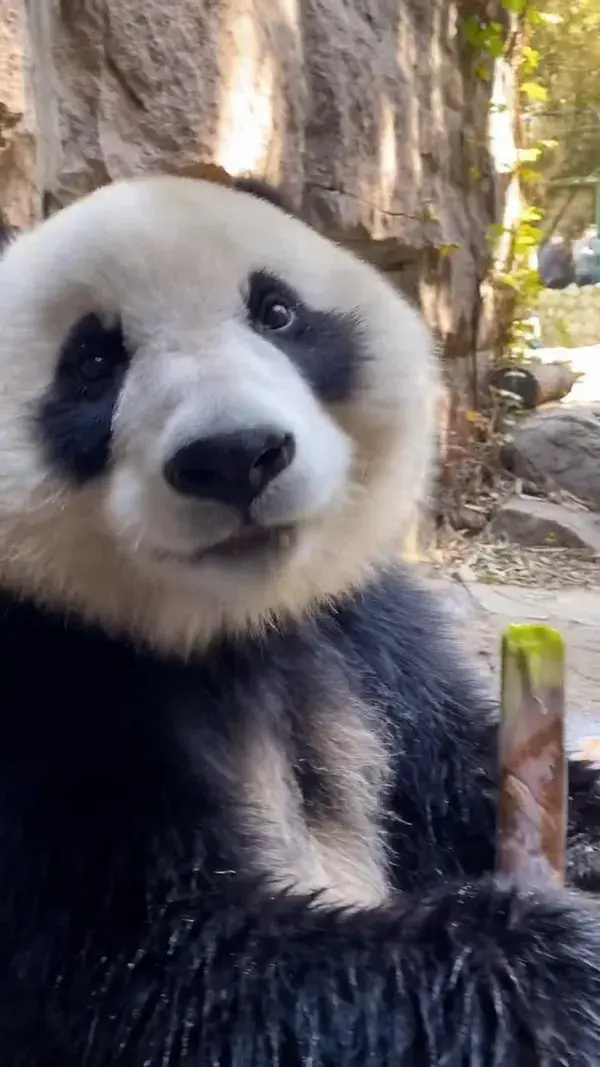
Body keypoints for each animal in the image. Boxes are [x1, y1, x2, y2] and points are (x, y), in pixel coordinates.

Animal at [0, 177, 597, 1067]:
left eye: (277, 312)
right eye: (93, 361)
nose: (233, 454)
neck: (231, 620)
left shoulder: (367, 637)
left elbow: (458, 770)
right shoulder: (41, 701)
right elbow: (164, 980)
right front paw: (559, 961)